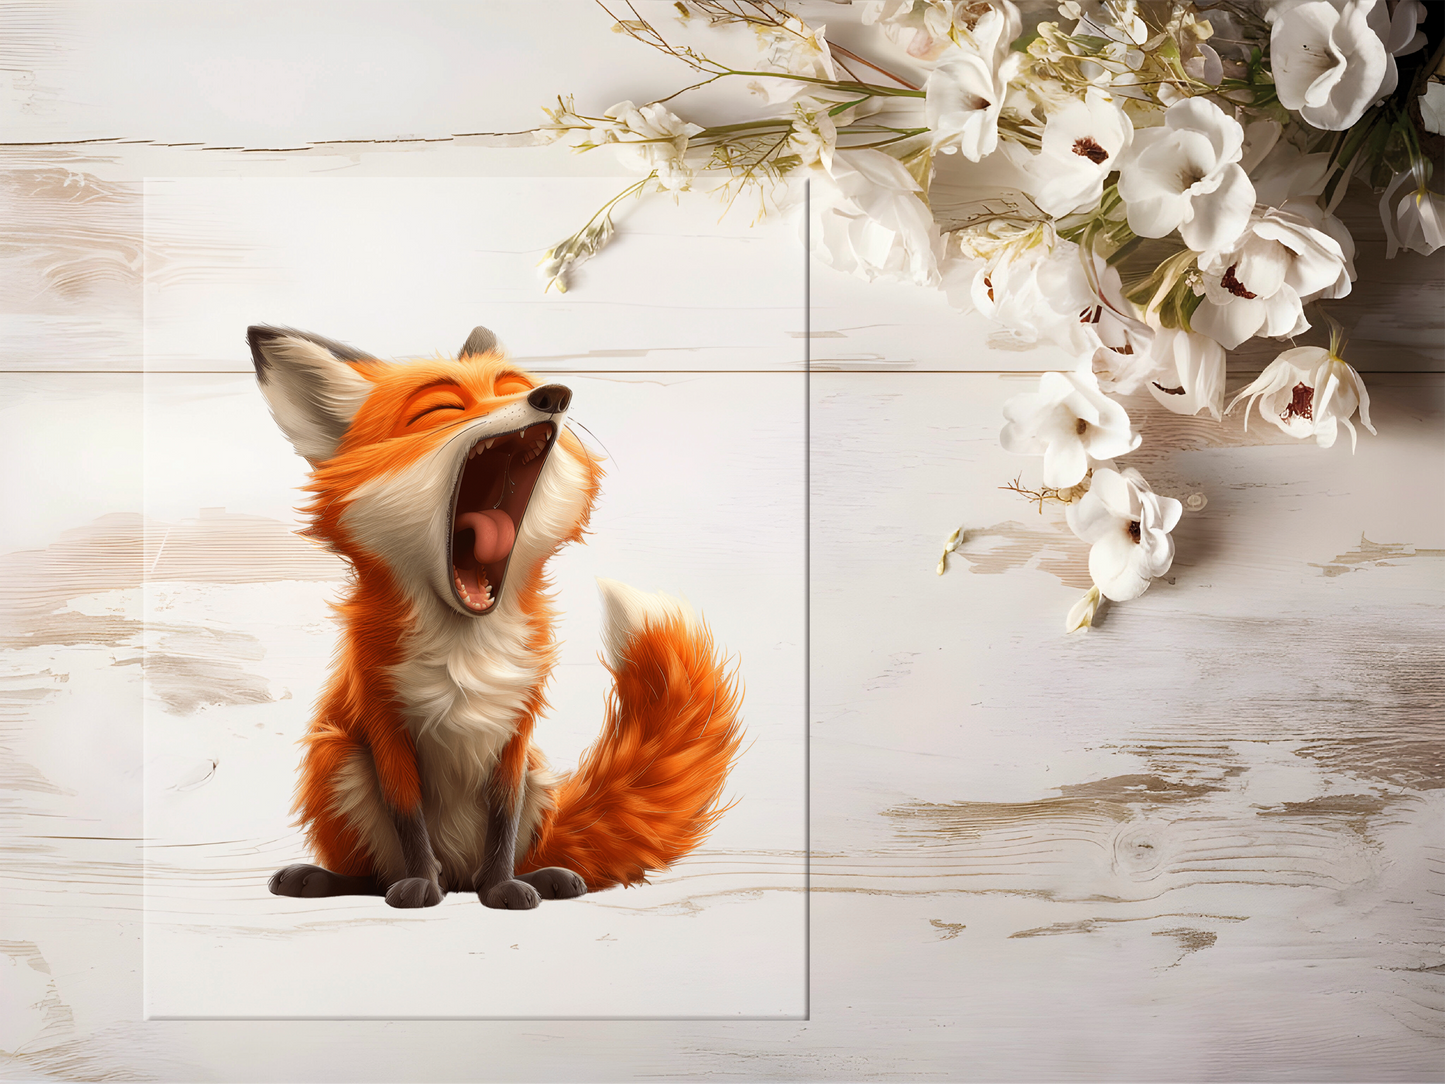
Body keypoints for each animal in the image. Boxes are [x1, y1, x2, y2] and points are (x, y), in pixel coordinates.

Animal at [249, 324, 742, 910]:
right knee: (372, 875)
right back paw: (338, 880)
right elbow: (408, 818)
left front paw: (505, 887)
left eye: (513, 387)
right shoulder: (384, 723)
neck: (467, 646)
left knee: (512, 851)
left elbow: (504, 820)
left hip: (537, 780)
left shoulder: (516, 733)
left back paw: (535, 877)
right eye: (440, 409)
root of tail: (460, 875)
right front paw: (420, 885)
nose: (553, 396)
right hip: (338, 758)